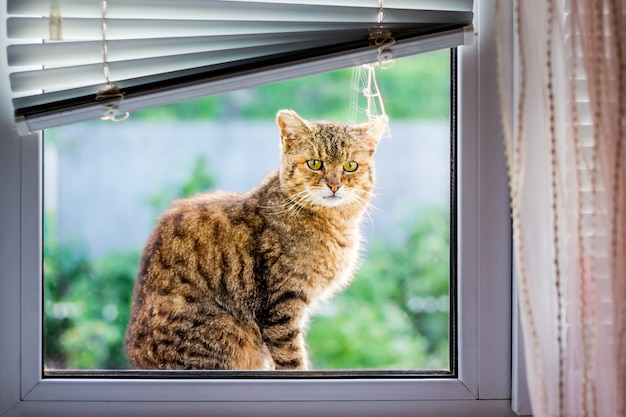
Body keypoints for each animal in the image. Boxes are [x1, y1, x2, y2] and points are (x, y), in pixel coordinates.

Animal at [124, 109, 386, 368]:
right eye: (315, 163)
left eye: (350, 165)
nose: (334, 185)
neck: (336, 222)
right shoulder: (280, 306)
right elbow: (291, 359)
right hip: (226, 331)